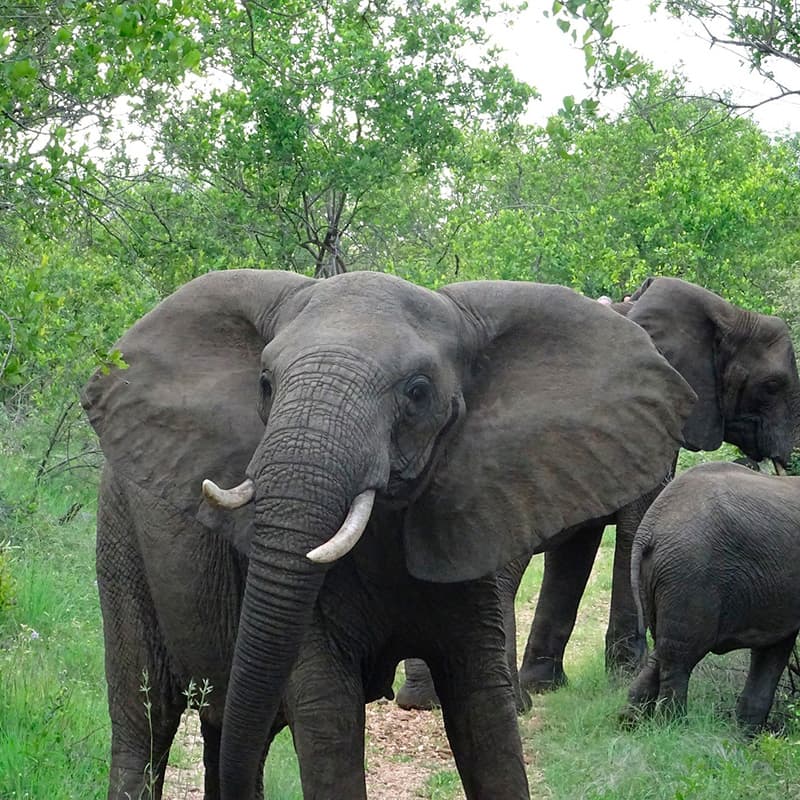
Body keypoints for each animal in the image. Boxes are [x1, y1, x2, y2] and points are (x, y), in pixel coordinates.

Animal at [79, 270, 692, 800]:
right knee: (147, 721)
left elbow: (484, 708)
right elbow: (326, 712)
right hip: (120, 537)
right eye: (265, 383)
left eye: (418, 392)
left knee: (225, 729)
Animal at [620, 462, 800, 732]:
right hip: (690, 575)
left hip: (659, 578)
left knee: (661, 653)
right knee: (680, 656)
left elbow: (772, 649)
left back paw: (628, 724)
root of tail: (649, 528)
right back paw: (674, 727)